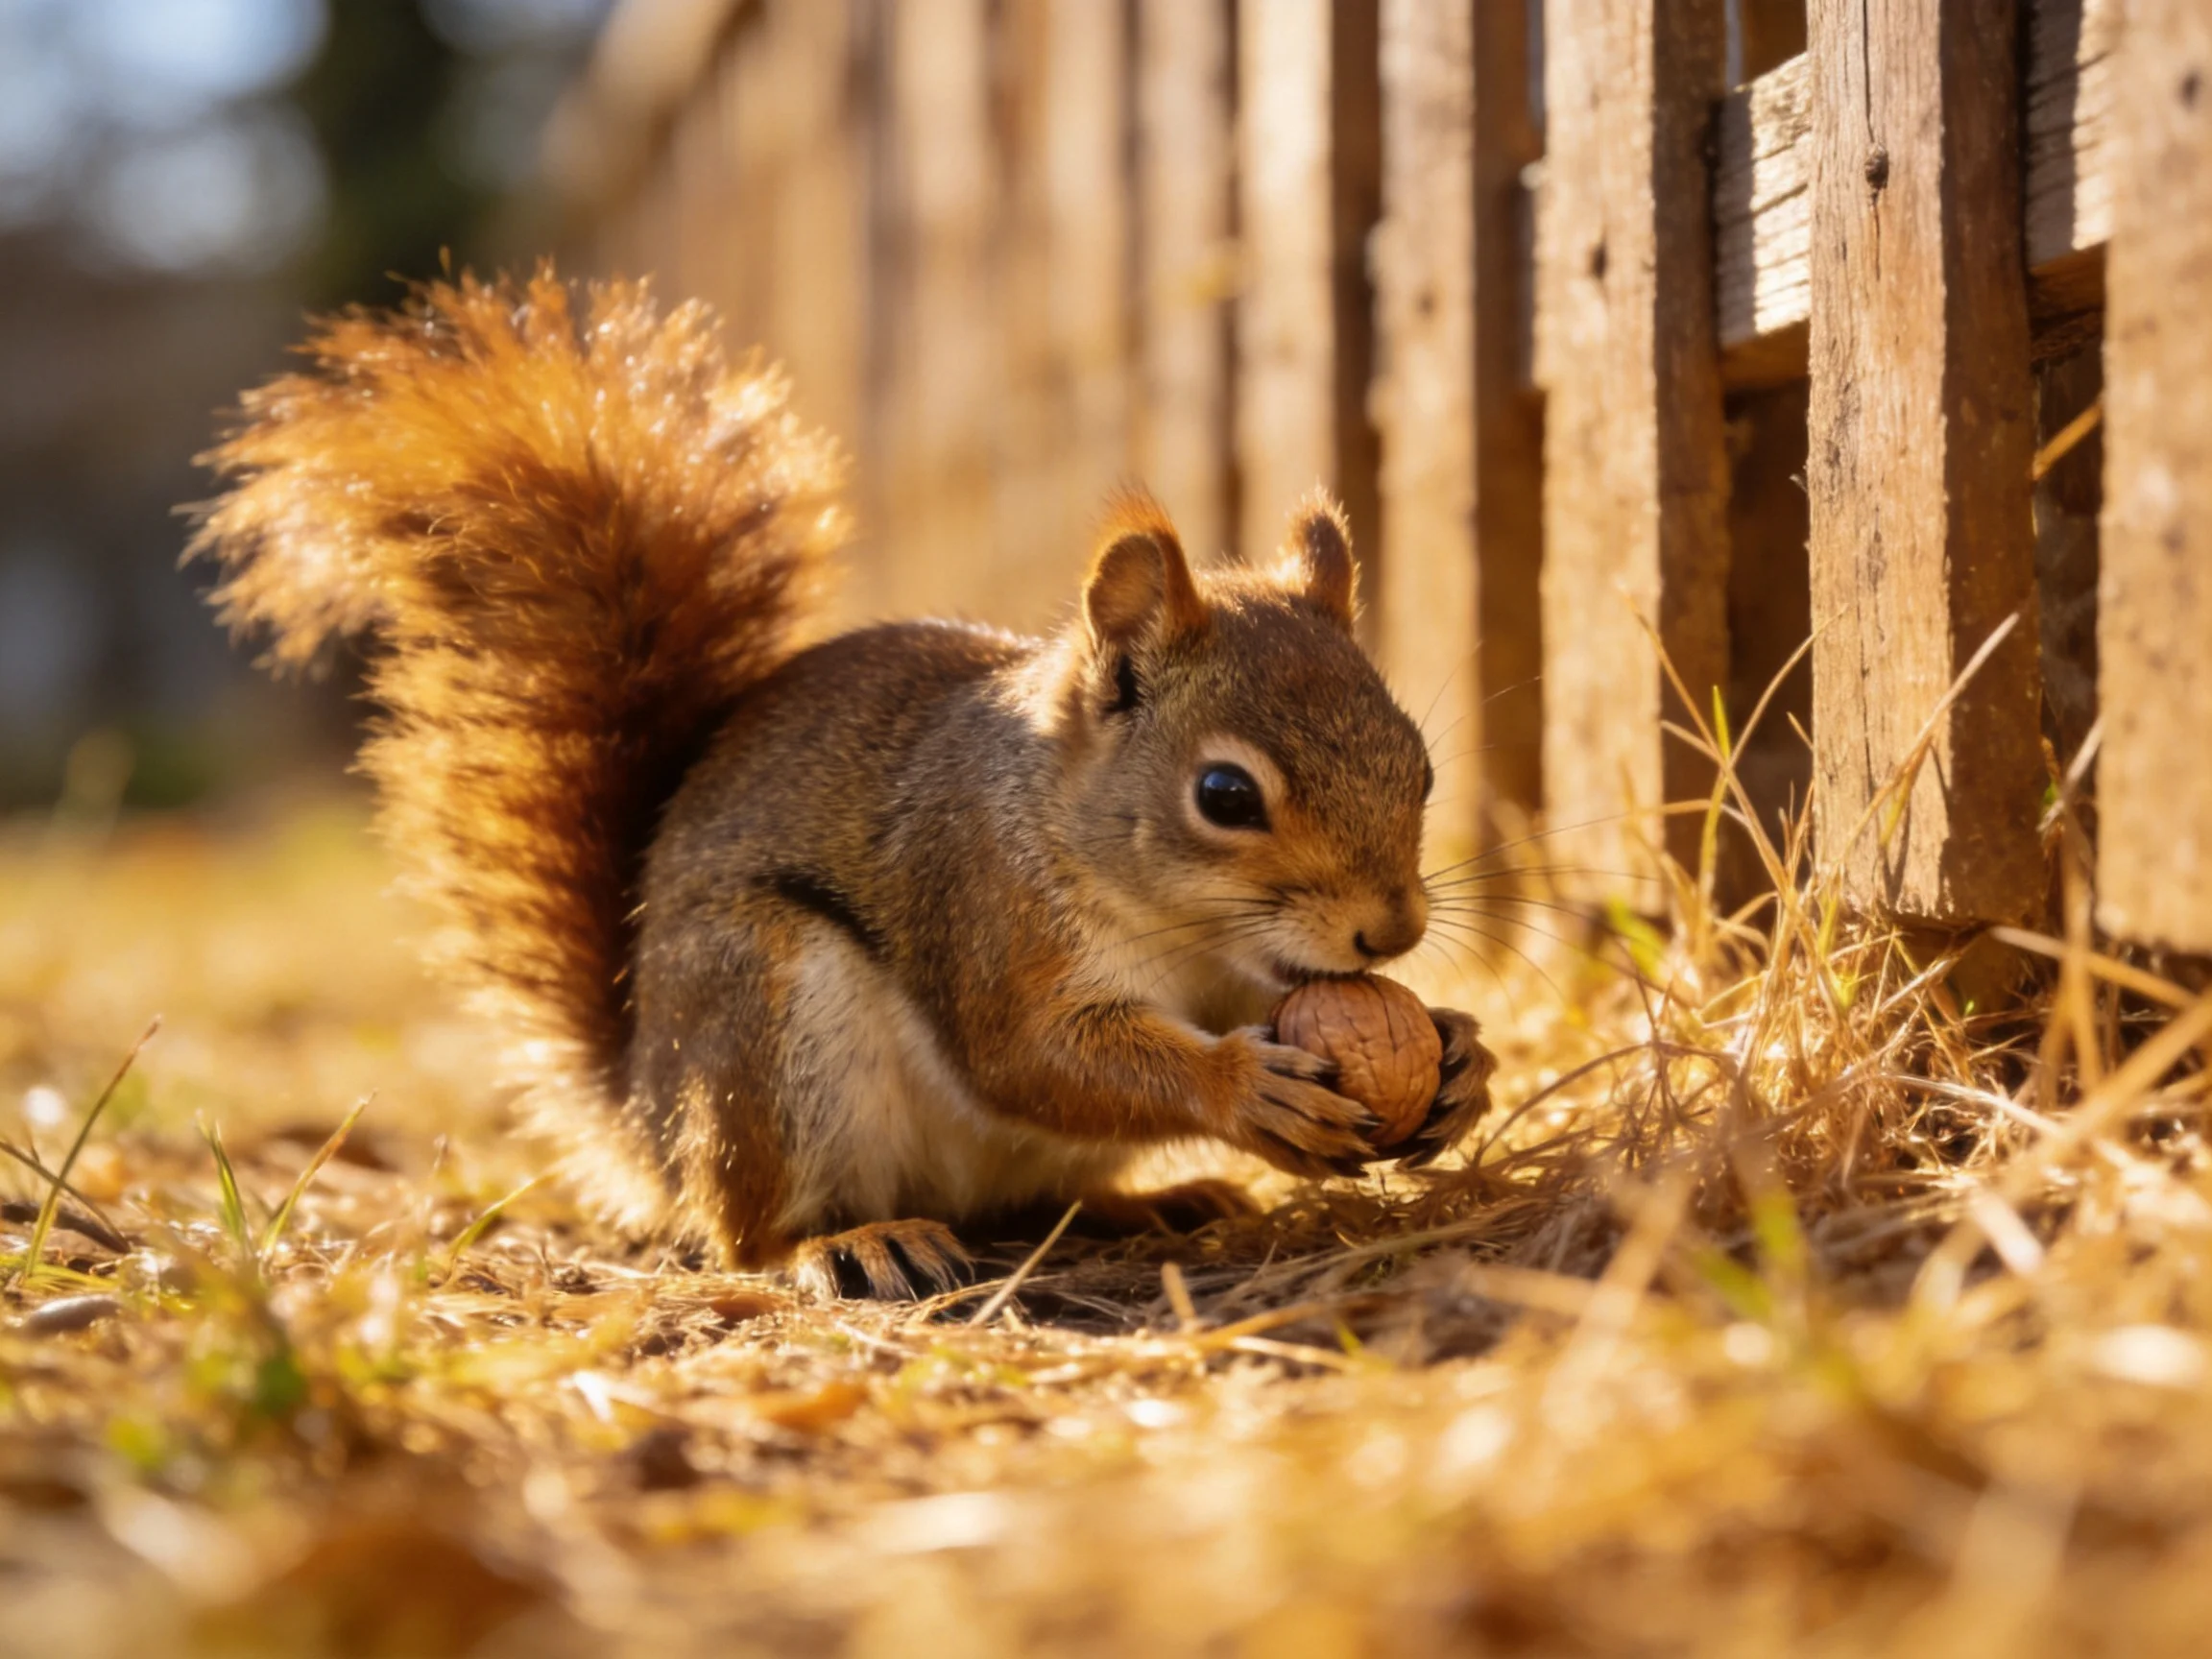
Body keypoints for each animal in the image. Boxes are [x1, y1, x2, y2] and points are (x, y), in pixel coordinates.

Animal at [190, 268, 1496, 1297]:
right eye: (1226, 797)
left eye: (1422, 765)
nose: (1390, 932)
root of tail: (645, 1116)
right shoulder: (980, 904)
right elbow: (1034, 1057)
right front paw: (1240, 1089)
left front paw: (1458, 1059)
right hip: (767, 1025)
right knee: (751, 1230)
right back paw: (850, 1245)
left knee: (1029, 1206)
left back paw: (1152, 1206)